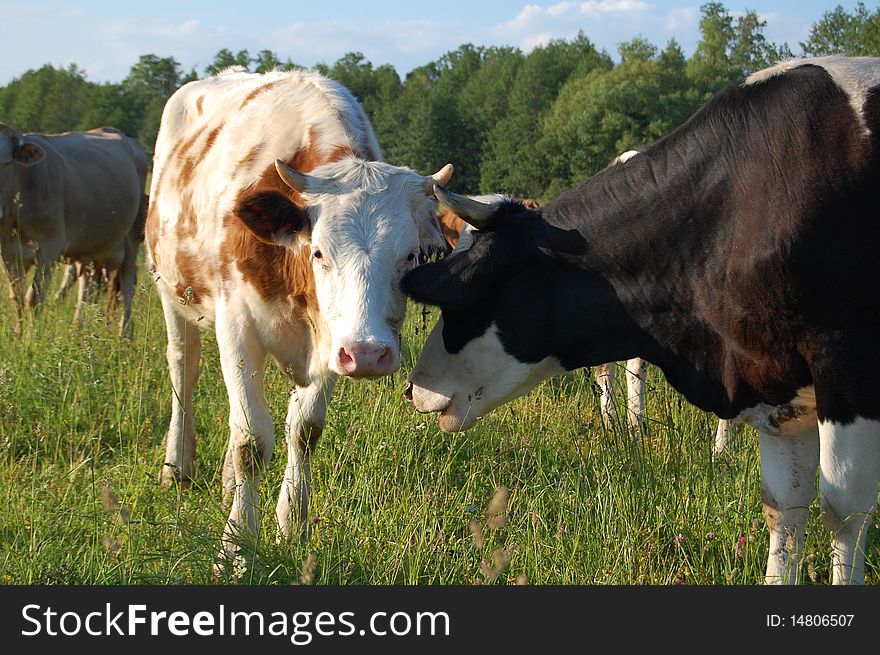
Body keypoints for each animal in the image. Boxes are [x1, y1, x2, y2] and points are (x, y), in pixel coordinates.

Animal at [0, 124, 146, 334]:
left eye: (6, 163)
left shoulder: (49, 248)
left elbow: (34, 298)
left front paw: (33, 337)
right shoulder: (8, 252)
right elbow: (16, 297)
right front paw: (18, 336)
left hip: (133, 235)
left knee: (127, 282)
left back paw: (124, 333)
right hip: (90, 247)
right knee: (86, 285)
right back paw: (78, 328)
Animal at [402, 57, 880, 584]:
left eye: (466, 293)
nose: (411, 388)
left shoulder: (847, 365)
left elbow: (844, 512)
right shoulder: (774, 383)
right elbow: (785, 508)